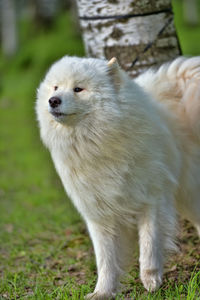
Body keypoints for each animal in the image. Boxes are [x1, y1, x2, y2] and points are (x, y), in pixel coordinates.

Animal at [36, 55, 200, 298]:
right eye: (56, 87)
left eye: (78, 89)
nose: (53, 100)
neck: (97, 143)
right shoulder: (100, 215)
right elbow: (106, 260)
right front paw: (102, 292)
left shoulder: (151, 199)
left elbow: (149, 245)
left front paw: (151, 280)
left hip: (188, 188)